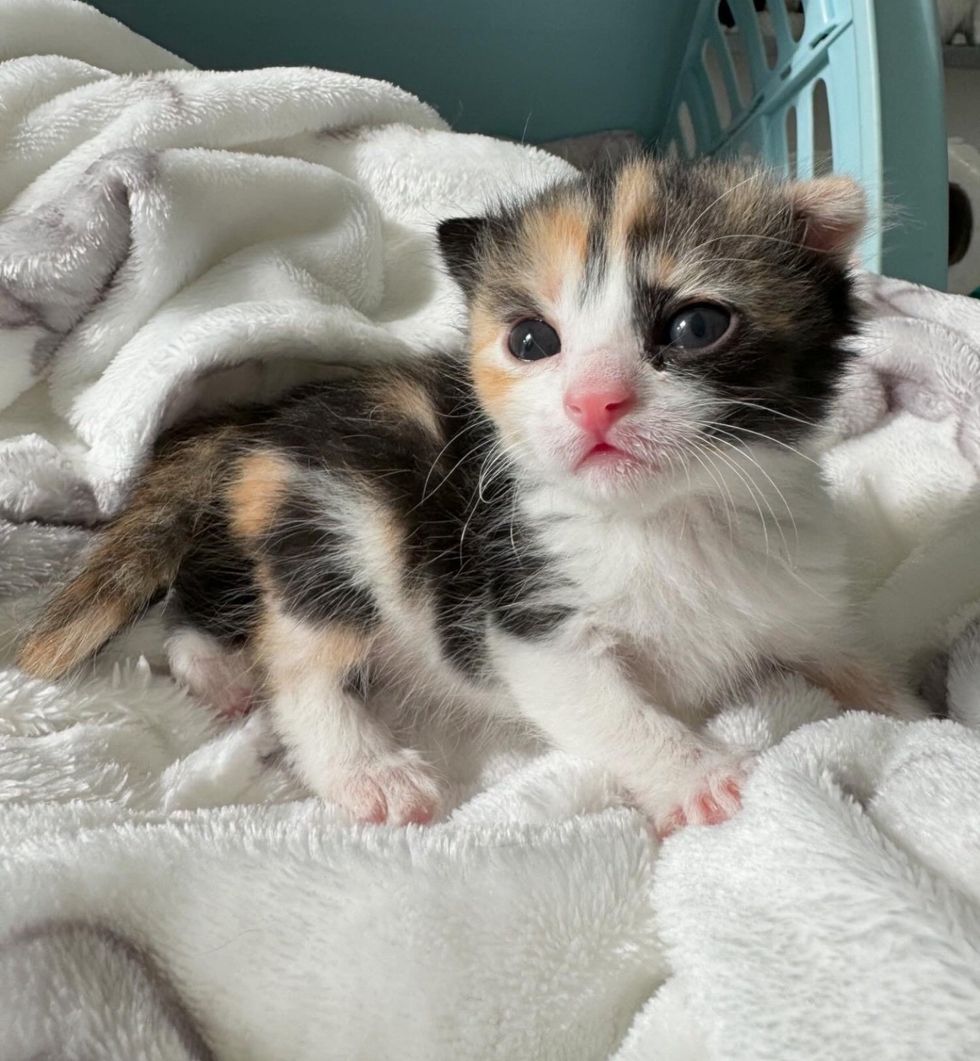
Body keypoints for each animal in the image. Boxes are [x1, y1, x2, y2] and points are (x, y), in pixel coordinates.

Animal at [15, 157, 920, 836]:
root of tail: (265, 420)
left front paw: (916, 719)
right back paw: (356, 762)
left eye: (696, 326)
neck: (667, 519)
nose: (594, 401)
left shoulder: (803, 599)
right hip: (348, 513)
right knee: (297, 657)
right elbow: (611, 708)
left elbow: (855, 666)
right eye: (532, 340)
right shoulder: (528, 613)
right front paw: (702, 780)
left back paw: (213, 663)